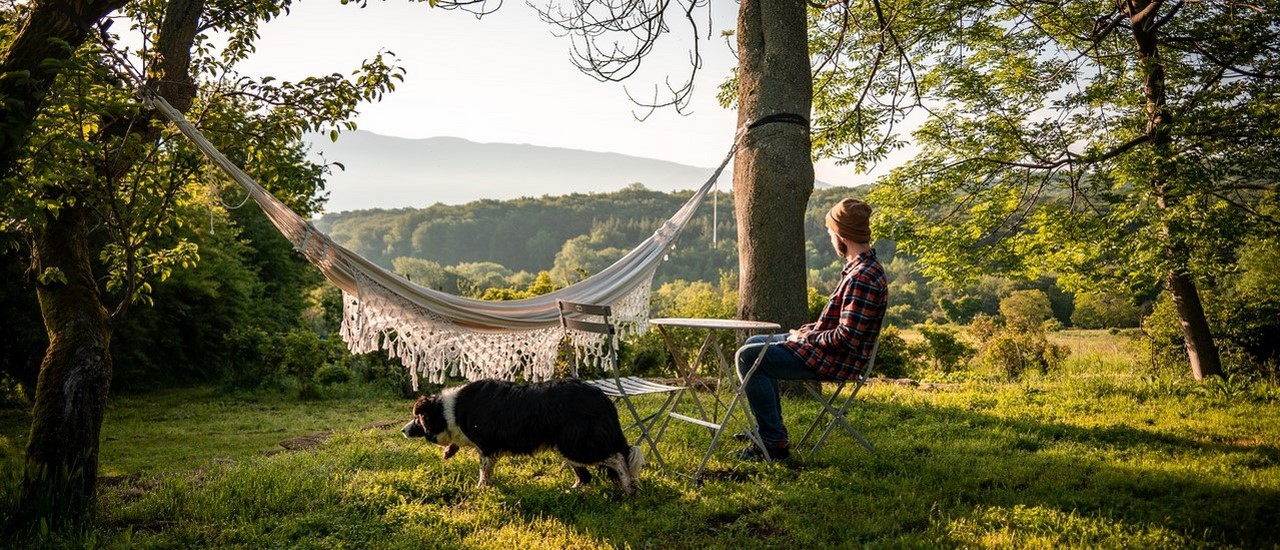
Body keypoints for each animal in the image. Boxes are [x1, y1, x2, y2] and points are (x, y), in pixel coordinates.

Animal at [399, 378, 640, 493]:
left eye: (416, 418)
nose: (403, 430)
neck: (450, 410)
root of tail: (602, 398)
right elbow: (487, 471)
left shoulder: (486, 447)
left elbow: (483, 471)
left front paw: (480, 490)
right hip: (564, 445)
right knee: (586, 476)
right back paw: (570, 492)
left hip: (576, 443)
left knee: (618, 457)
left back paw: (629, 489)